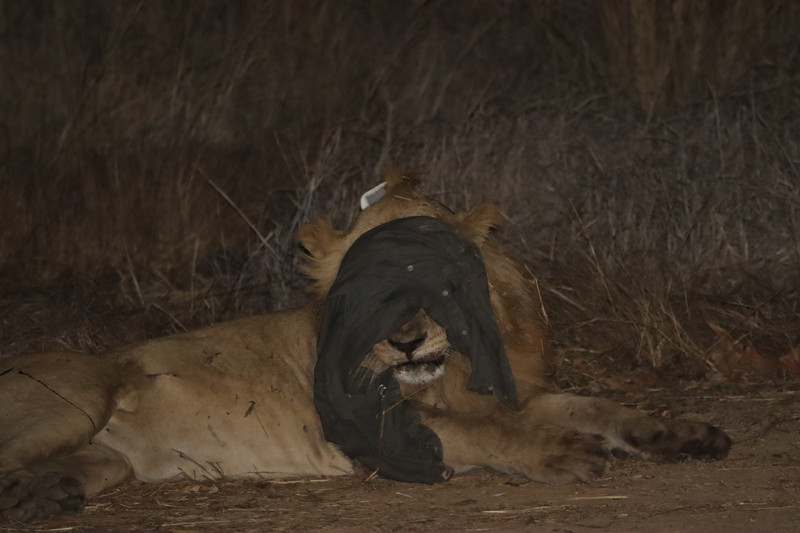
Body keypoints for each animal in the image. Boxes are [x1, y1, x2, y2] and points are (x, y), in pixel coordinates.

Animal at [0, 173, 730, 522]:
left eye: (433, 271)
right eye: (370, 279)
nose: (404, 341)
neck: (453, 366)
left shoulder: (517, 395)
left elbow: (601, 407)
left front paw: (682, 432)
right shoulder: (385, 431)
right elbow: (496, 437)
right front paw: (561, 452)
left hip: (106, 457)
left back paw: (42, 495)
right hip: (79, 395)